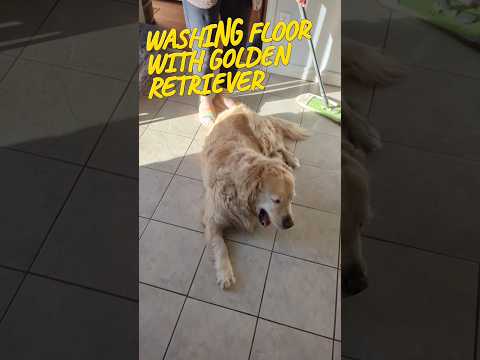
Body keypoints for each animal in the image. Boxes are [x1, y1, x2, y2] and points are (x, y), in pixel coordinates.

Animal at [202, 105, 308, 290]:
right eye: (276, 200)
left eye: (291, 199)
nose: (290, 224)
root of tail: (239, 106)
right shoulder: (212, 219)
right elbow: (221, 246)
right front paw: (225, 273)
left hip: (265, 137)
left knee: (280, 145)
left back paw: (291, 158)